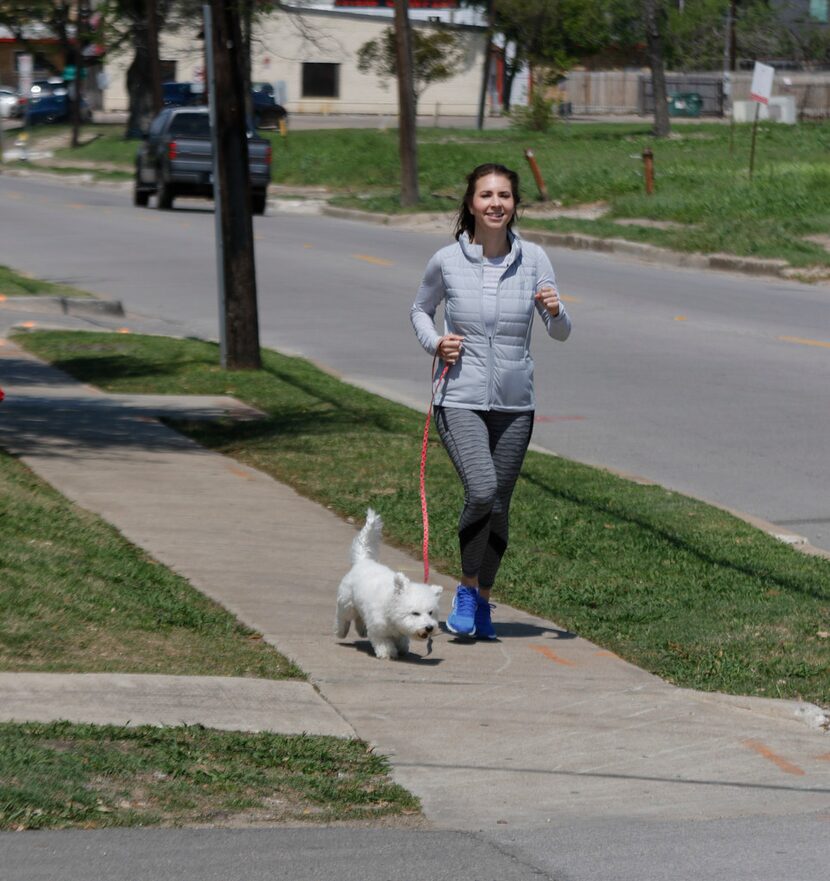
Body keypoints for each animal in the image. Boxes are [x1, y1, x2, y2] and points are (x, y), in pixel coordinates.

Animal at [336, 508, 446, 660]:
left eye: (431, 612)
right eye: (415, 613)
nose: (429, 627)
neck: (390, 608)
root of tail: (363, 561)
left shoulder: (400, 631)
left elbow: (402, 640)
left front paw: (402, 648)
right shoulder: (378, 629)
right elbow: (384, 642)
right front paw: (388, 653)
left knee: (359, 617)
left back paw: (361, 630)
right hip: (347, 603)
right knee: (343, 617)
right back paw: (341, 632)